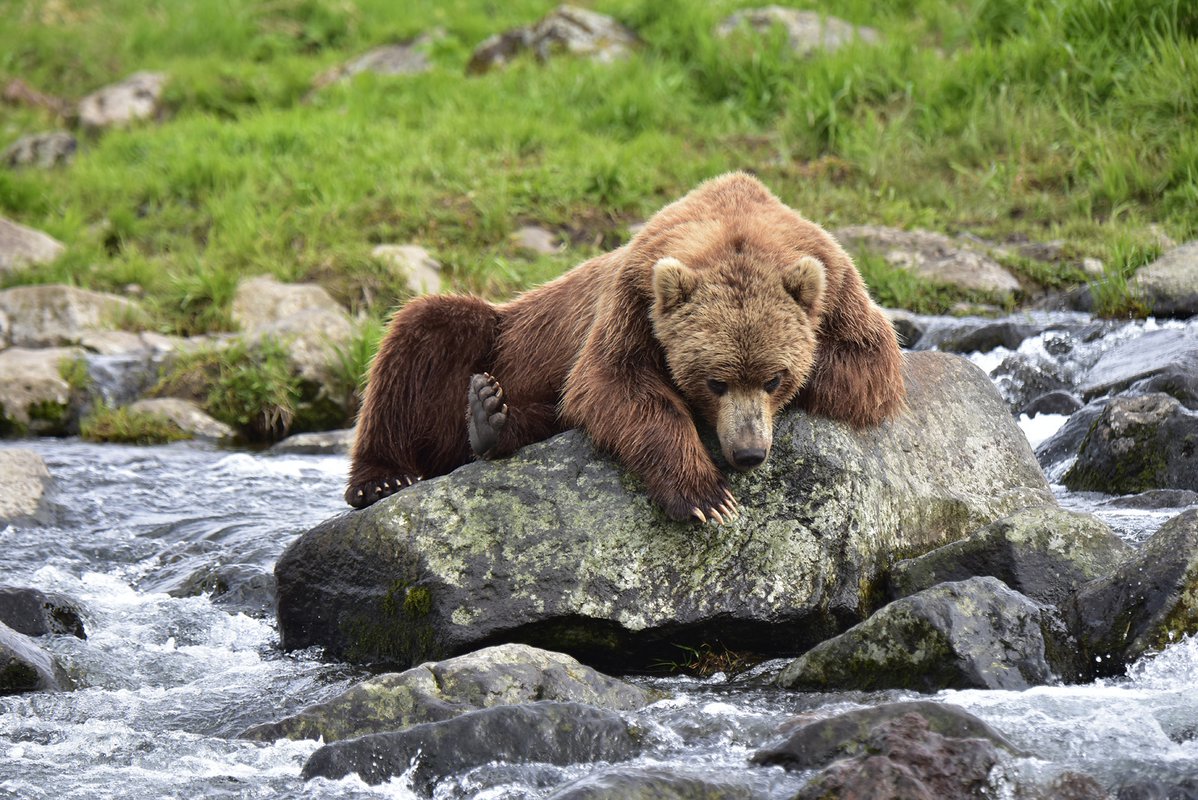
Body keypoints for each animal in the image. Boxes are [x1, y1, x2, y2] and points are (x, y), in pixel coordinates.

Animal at [349, 172, 900, 522]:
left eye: (772, 378)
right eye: (715, 381)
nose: (747, 453)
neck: (734, 226)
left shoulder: (839, 285)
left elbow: (868, 365)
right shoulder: (633, 299)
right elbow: (615, 383)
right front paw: (706, 496)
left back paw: (491, 419)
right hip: (505, 334)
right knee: (422, 335)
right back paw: (385, 476)